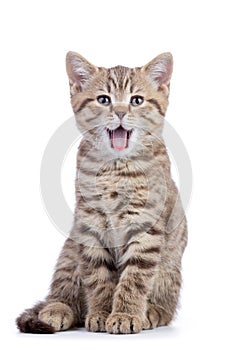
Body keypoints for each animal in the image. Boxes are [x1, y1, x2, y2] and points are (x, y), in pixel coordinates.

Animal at [15, 51, 187, 334]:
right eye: (104, 99)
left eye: (136, 100)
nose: (120, 112)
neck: (115, 168)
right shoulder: (89, 223)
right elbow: (97, 277)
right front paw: (101, 312)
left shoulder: (145, 226)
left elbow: (134, 278)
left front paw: (125, 314)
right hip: (69, 251)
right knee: (64, 289)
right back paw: (57, 309)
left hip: (169, 272)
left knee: (167, 304)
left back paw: (152, 311)